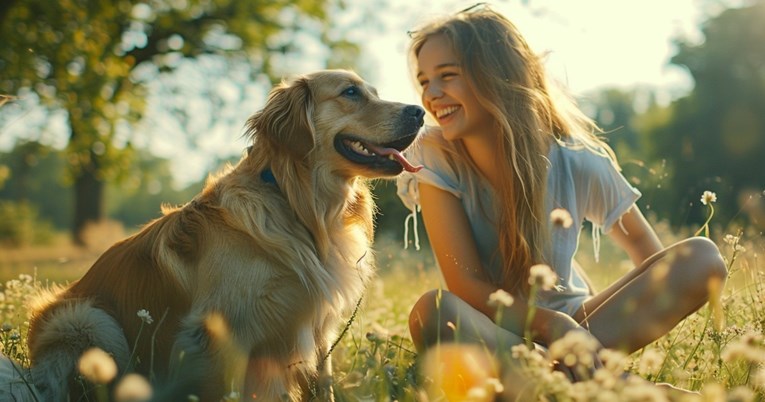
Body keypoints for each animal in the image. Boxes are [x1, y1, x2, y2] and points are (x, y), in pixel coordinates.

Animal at [19, 70, 424, 400]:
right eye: (351, 92)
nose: (419, 111)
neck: (298, 206)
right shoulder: (221, 334)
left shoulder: (318, 328)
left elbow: (322, 387)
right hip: (87, 320)